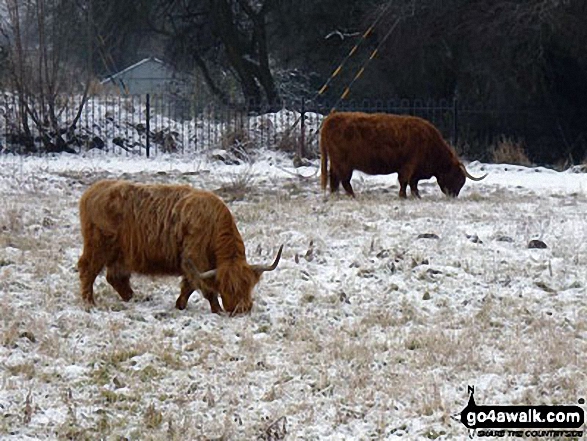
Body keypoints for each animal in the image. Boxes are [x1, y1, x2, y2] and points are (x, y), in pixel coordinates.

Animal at [77, 180, 284, 314]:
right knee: (88, 269)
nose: (242, 309)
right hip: (99, 246)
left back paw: (133, 298)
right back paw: (89, 303)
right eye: (228, 288)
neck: (213, 225)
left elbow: (189, 286)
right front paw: (217, 309)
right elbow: (202, 286)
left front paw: (180, 304)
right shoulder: (195, 258)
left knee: (115, 277)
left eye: (248, 286)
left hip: (121, 253)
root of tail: (91, 191)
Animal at [322, 111, 486, 198]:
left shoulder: (415, 170)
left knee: (334, 178)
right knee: (343, 180)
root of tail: (332, 118)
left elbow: (413, 183)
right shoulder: (408, 165)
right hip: (343, 163)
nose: (453, 195)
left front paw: (416, 196)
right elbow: (405, 181)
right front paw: (403, 196)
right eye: (458, 178)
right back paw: (352, 196)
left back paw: (334, 194)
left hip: (336, 163)